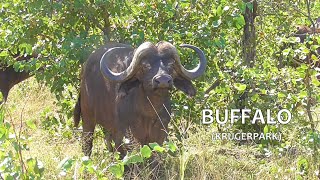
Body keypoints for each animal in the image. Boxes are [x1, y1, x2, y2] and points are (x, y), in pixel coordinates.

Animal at [74, 41, 206, 156]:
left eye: (171, 64)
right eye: (146, 65)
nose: (163, 80)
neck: (148, 112)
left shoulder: (160, 133)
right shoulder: (124, 134)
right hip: (88, 118)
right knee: (87, 144)